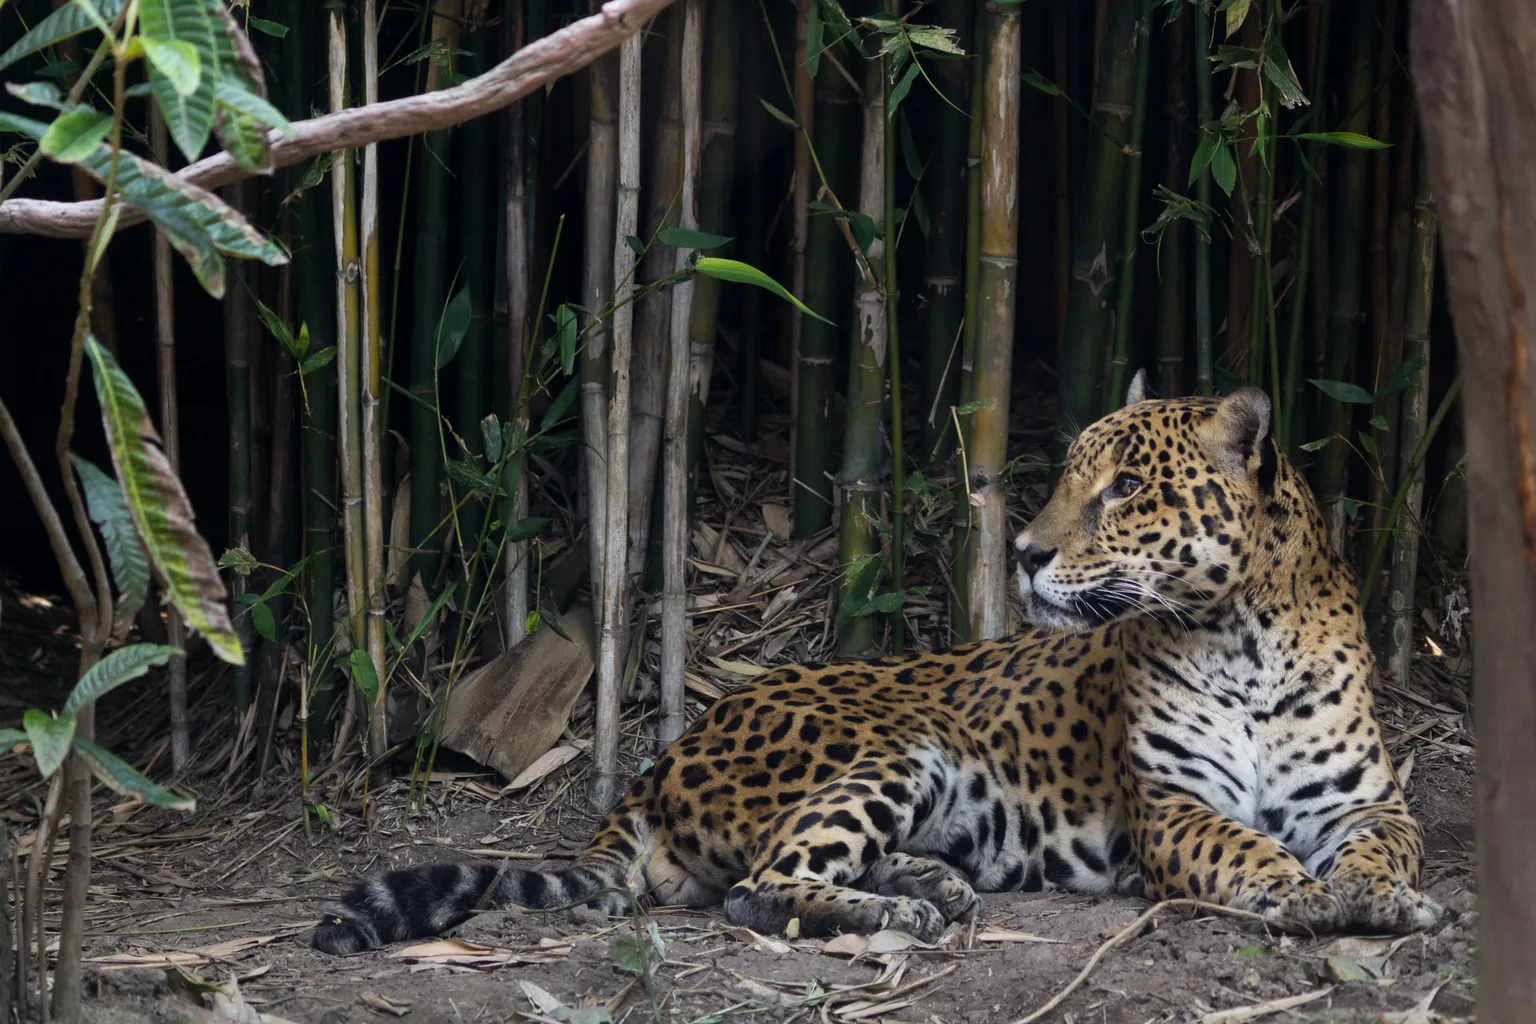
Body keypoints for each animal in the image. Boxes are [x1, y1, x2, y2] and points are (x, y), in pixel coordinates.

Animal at [310, 372, 1441, 954]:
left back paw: (931, 880)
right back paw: (903, 907)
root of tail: (660, 762)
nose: (1023, 552)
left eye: (1125, 488)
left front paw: (1382, 897)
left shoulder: (1367, 802)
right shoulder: (1171, 807)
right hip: (894, 748)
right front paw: (1306, 895)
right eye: (1071, 477)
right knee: (759, 884)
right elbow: (1246, 848)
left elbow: (1385, 849)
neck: (1240, 636)